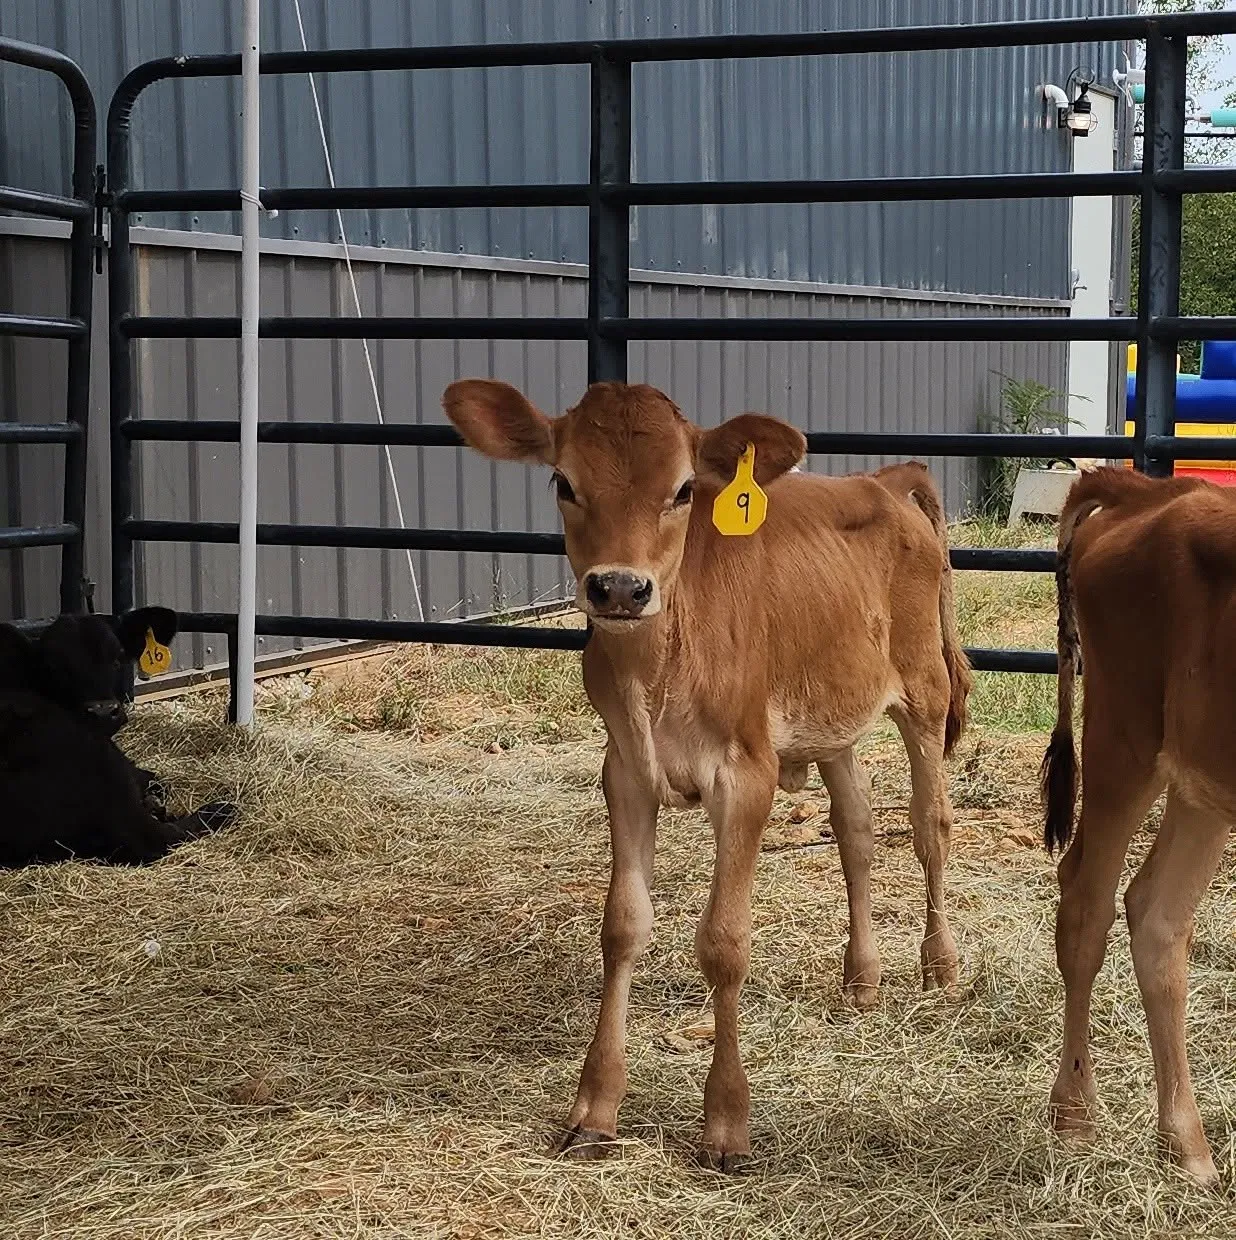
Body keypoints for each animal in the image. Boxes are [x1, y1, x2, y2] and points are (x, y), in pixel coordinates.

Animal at [443, 378, 972, 1170]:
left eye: (685, 489)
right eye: (564, 482)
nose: (619, 588)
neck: (658, 665)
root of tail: (881, 479)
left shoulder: (745, 773)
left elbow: (724, 942)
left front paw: (726, 1122)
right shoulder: (625, 771)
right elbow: (623, 926)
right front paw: (595, 1109)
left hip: (924, 692)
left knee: (930, 826)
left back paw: (938, 965)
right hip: (832, 719)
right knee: (856, 834)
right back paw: (862, 978)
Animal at [1041, 466, 1236, 1188]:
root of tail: (1147, 491)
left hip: (1202, 775)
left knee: (1155, 917)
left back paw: (1186, 1144)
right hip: (1123, 738)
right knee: (1085, 905)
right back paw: (1074, 1112)